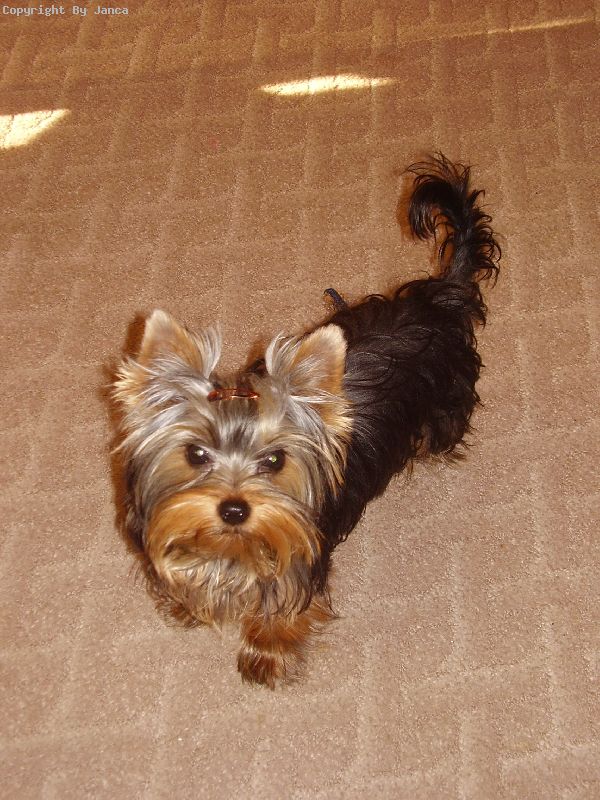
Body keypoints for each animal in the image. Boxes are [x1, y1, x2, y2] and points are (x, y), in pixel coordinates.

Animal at [113, 155, 500, 687]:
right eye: (195, 453)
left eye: (275, 460)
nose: (234, 510)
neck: (233, 547)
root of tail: (443, 294)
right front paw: (187, 600)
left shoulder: (299, 557)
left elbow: (283, 609)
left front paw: (267, 654)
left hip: (449, 397)